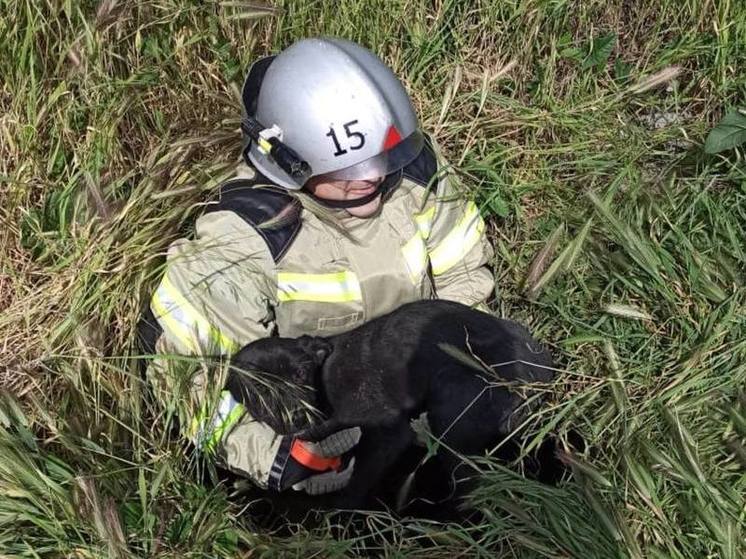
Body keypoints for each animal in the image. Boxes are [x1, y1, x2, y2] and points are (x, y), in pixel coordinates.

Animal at [227, 302, 552, 512]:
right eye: (258, 391)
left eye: (300, 373)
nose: (298, 416)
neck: (324, 378)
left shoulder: (388, 433)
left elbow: (353, 489)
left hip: (451, 411)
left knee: (471, 488)